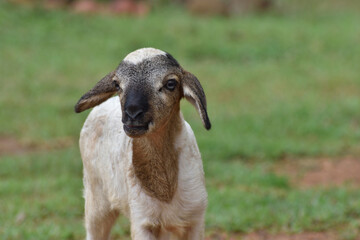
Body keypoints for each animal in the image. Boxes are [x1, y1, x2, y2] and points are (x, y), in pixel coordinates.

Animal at [75, 47, 212, 240]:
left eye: (171, 83)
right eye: (117, 84)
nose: (132, 114)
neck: (166, 191)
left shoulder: (196, 217)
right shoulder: (142, 219)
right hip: (96, 198)